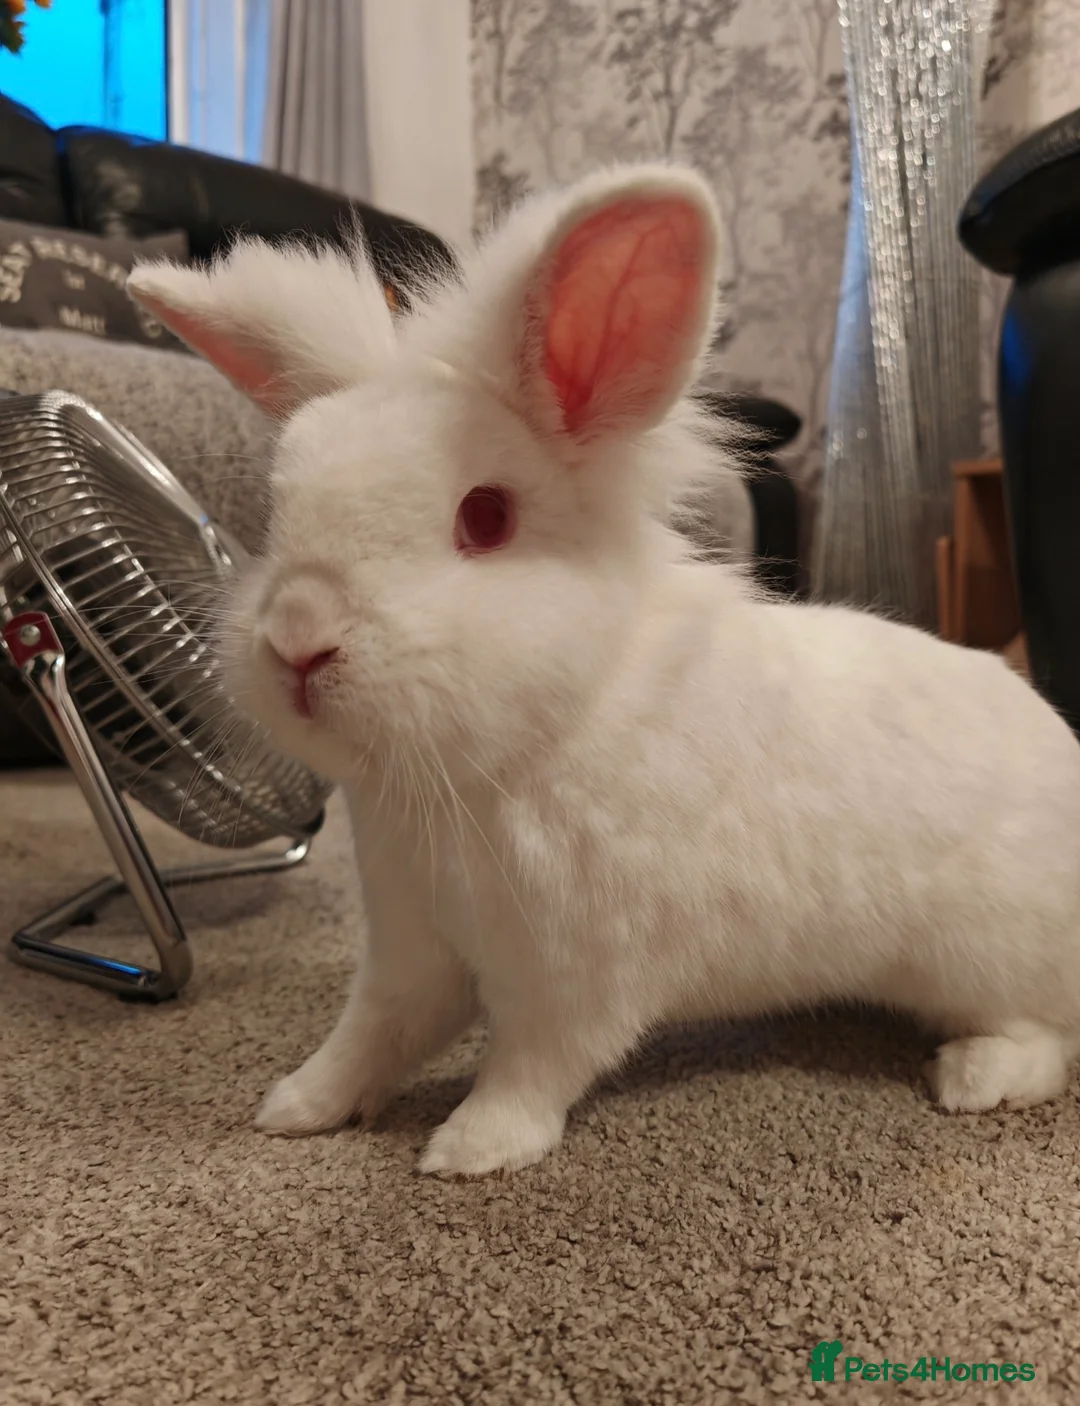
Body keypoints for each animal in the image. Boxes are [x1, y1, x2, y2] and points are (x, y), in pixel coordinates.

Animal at [127, 163, 1080, 1179]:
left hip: (987, 959)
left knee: (1048, 1042)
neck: (531, 742)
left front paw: (472, 1149)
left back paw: (973, 1078)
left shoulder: (578, 972)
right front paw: (295, 1106)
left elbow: (532, 1064)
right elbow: (372, 1035)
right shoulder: (410, 948)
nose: (299, 638)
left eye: (486, 517)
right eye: (276, 515)